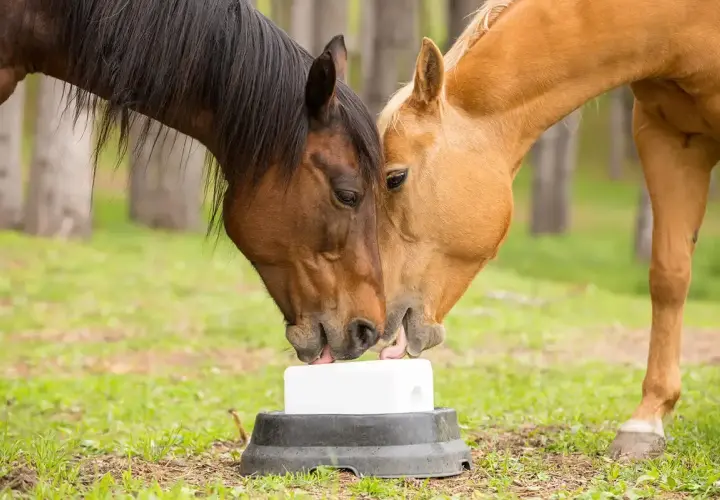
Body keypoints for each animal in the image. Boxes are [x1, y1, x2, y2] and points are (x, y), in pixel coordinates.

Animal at [375, 0, 720, 460]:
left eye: (395, 178)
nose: (377, 317)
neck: (683, 25)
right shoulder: (668, 137)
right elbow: (669, 277)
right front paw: (646, 422)